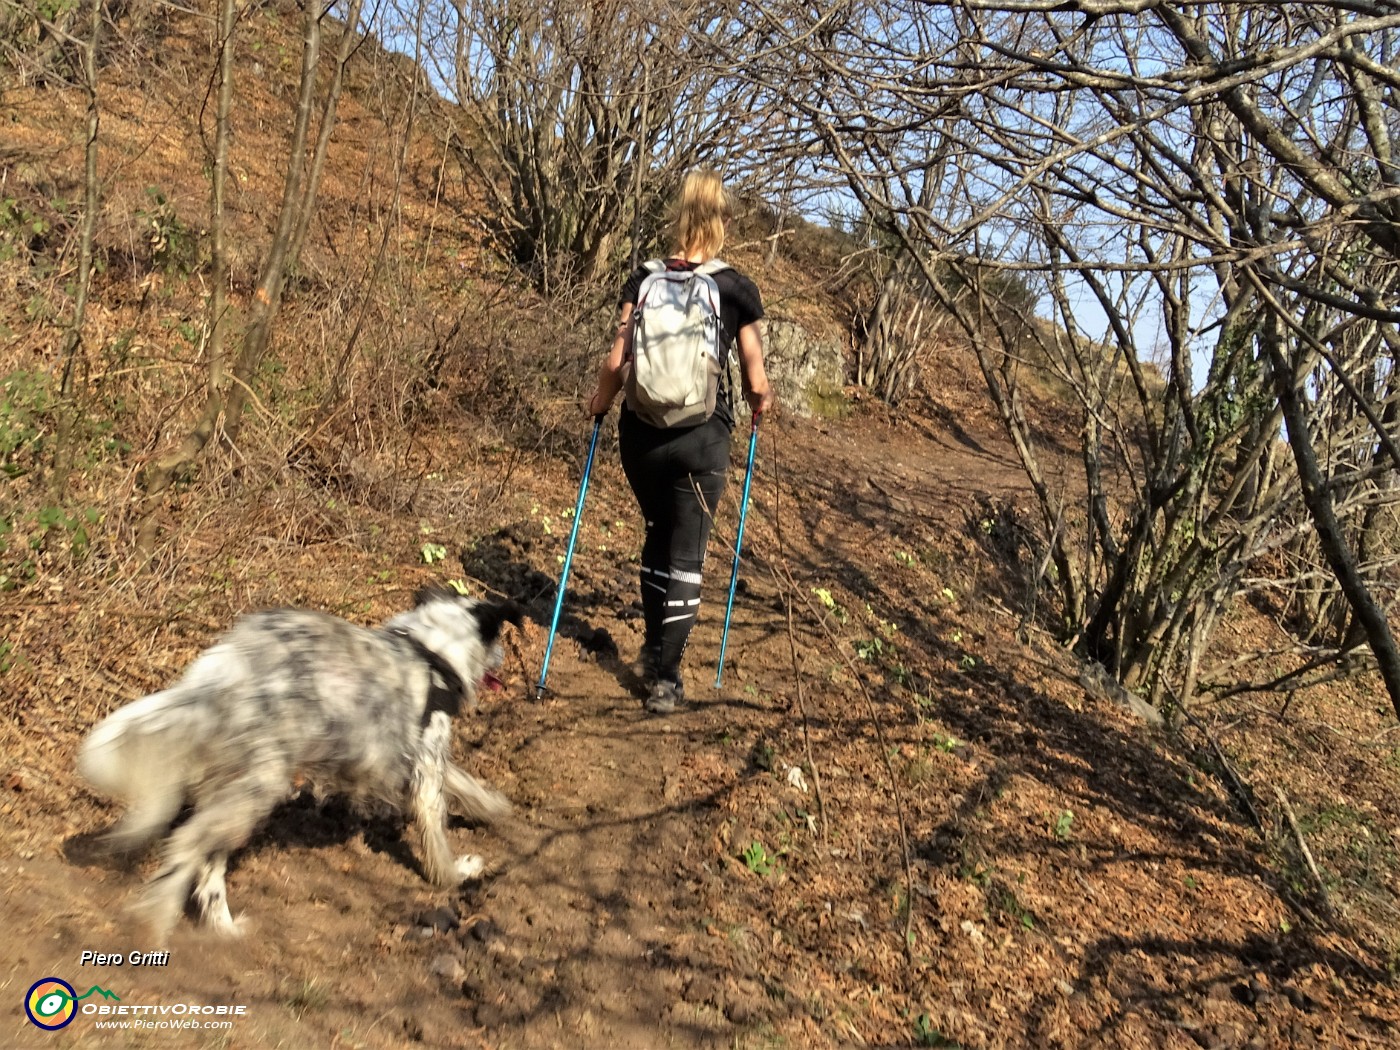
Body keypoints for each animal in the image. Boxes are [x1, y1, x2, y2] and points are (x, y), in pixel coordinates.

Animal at [73, 588, 520, 940]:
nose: (503, 659)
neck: (432, 653)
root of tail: (222, 672)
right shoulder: (425, 770)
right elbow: (439, 837)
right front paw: (456, 872)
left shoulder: (421, 757)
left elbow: (466, 783)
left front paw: (494, 808)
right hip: (259, 785)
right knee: (186, 846)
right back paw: (153, 921)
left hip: (235, 791)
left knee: (207, 863)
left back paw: (223, 928)